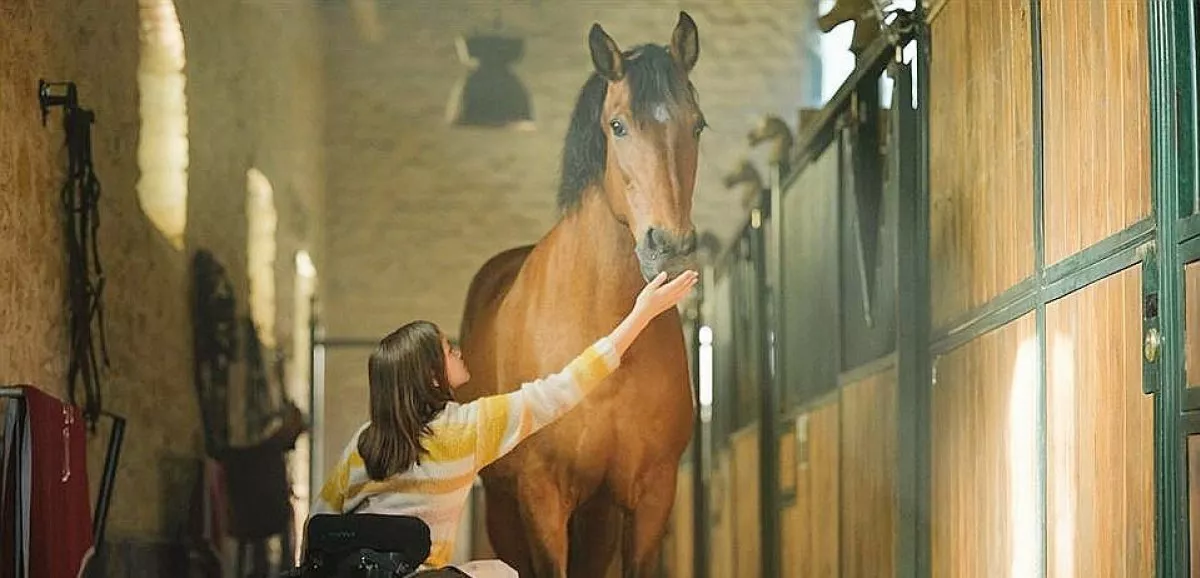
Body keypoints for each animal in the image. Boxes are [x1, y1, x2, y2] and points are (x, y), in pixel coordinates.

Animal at [456, 12, 700, 578]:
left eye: (697, 124)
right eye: (618, 125)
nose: (670, 247)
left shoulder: (650, 498)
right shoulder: (542, 496)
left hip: (597, 514)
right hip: (506, 509)